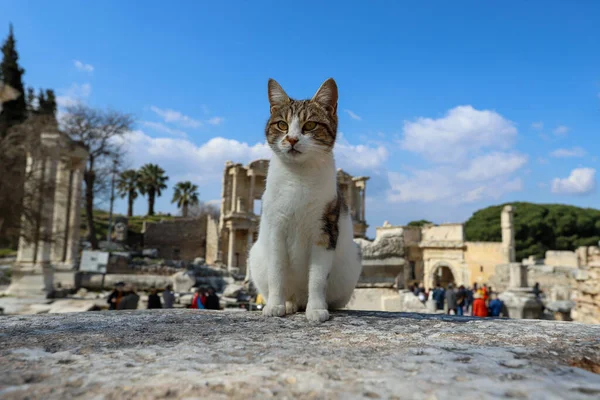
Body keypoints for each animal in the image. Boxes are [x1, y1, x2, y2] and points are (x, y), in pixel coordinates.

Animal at [247, 77, 360, 322]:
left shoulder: (325, 229)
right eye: (282, 125)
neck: (298, 176)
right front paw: (275, 305)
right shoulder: (276, 229)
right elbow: (277, 272)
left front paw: (316, 309)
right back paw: (289, 304)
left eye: (310, 126)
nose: (291, 139)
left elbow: (317, 277)